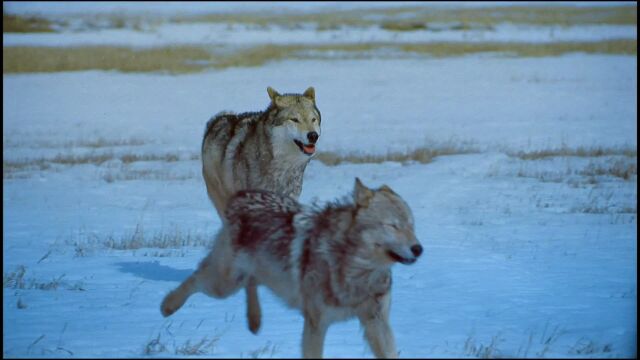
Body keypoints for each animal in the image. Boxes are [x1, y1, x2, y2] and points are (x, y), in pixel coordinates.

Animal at [160, 179, 422, 358]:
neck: (358, 272)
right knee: (196, 276)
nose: (418, 249)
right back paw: (168, 306)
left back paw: (254, 320)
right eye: (393, 226)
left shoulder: (377, 322)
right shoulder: (316, 324)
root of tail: (243, 195)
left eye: (411, 225)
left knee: (250, 283)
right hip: (223, 284)